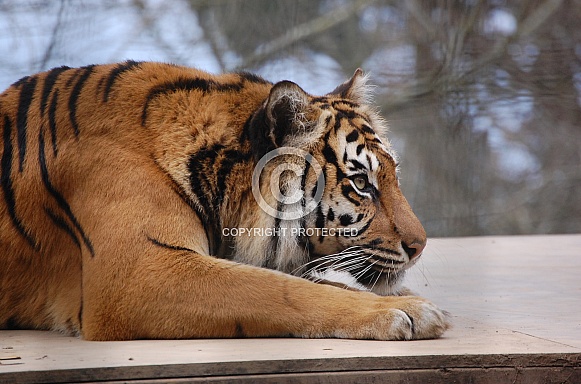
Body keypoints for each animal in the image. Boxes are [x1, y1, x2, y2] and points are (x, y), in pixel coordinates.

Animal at [0, 61, 448, 340]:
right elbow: (279, 289)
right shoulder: (141, 274)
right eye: (361, 183)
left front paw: (413, 304)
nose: (420, 245)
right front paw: (404, 312)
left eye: (392, 176)